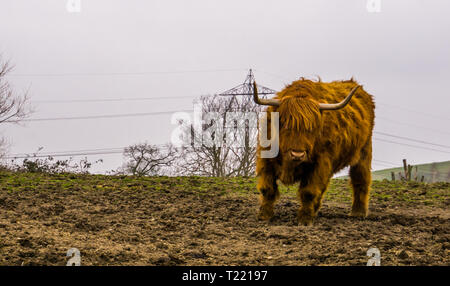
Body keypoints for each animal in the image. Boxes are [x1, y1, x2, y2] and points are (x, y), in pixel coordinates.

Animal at [253, 78, 376, 226]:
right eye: (285, 124)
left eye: (311, 128)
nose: (298, 154)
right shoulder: (266, 161)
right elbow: (268, 189)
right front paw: (264, 216)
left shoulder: (320, 164)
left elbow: (309, 192)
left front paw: (305, 220)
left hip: (364, 151)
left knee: (360, 179)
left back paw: (358, 213)